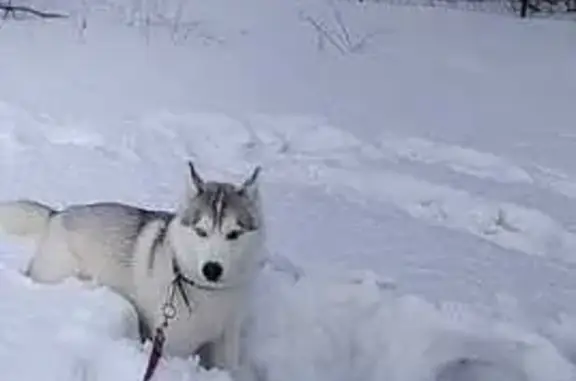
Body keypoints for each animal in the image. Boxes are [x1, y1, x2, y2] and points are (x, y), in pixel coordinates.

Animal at [0, 161, 266, 374]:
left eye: (234, 234)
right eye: (201, 231)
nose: (212, 269)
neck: (206, 292)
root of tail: (57, 215)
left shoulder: (227, 338)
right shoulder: (171, 344)